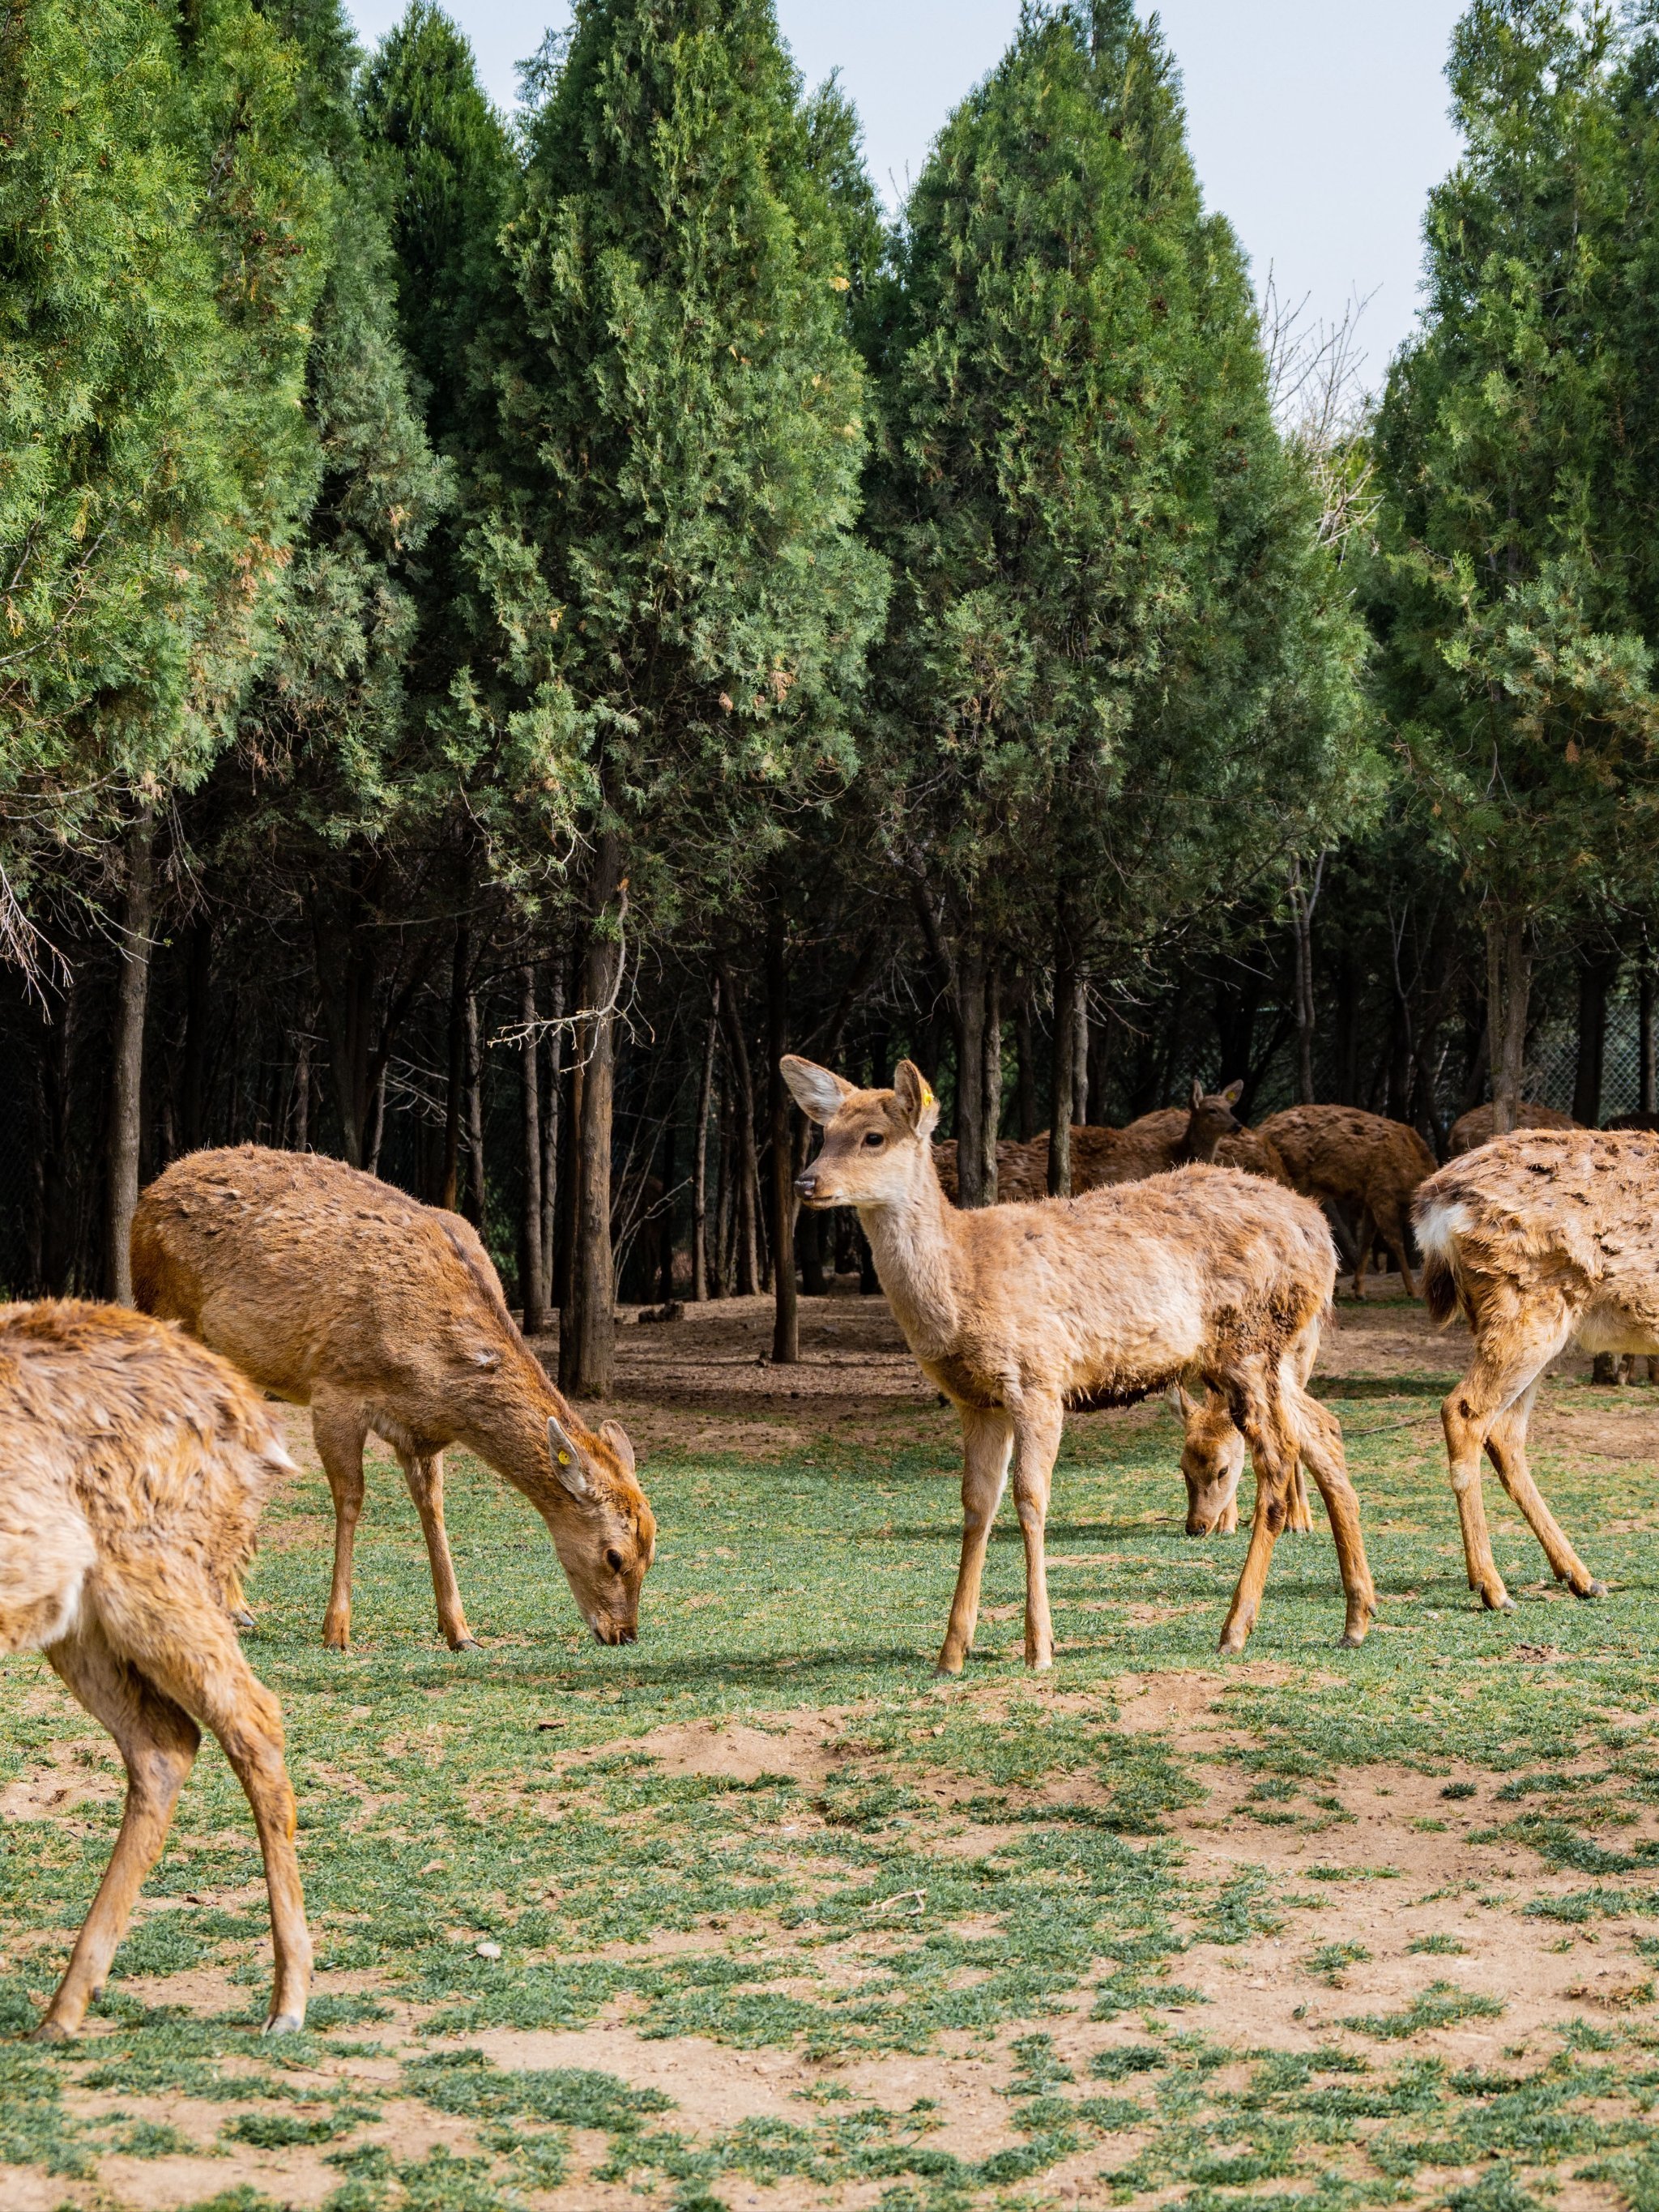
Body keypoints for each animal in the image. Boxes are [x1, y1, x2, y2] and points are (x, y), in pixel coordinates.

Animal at [0, 1301, 310, 2041]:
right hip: (78, 1621)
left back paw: (287, 2001)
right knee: (164, 1739)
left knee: (252, 1718)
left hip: (154, 1577)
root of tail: (251, 1413)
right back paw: (62, 2009)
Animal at [131, 1146, 656, 1653]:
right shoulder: (336, 1387)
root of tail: (149, 1194)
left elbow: (433, 1505)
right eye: (614, 1556)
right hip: (168, 1317)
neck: (435, 1382)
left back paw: (238, 1605)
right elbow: (351, 1498)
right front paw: (336, 1631)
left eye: (652, 1551)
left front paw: (461, 1632)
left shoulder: (420, 1431)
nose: (623, 1634)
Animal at [783, 1057, 1375, 1665]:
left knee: (1276, 1462)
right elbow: (976, 1503)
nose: (806, 1181)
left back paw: (1236, 1627)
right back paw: (1356, 1619)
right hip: (1266, 1357)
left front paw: (1039, 1646)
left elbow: (1030, 1498)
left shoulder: (1038, 1377)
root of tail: (1321, 1233)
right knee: (1323, 1431)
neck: (964, 1278)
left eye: (874, 1137)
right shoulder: (977, 1400)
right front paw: (952, 1652)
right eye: (825, 1133)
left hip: (1251, 1343)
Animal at [1255, 1103, 1437, 1297]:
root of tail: (1262, 1128)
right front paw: (1413, 1290)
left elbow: (1366, 1240)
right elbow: (1395, 1241)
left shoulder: (1369, 1198)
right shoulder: (1382, 1193)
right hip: (1293, 1177)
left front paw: (1359, 1289)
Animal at [1414, 1127, 1659, 1613]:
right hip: (1527, 1310)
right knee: (1464, 1409)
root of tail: (1436, 1202)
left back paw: (1581, 1577)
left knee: (1505, 1431)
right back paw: (1493, 1588)